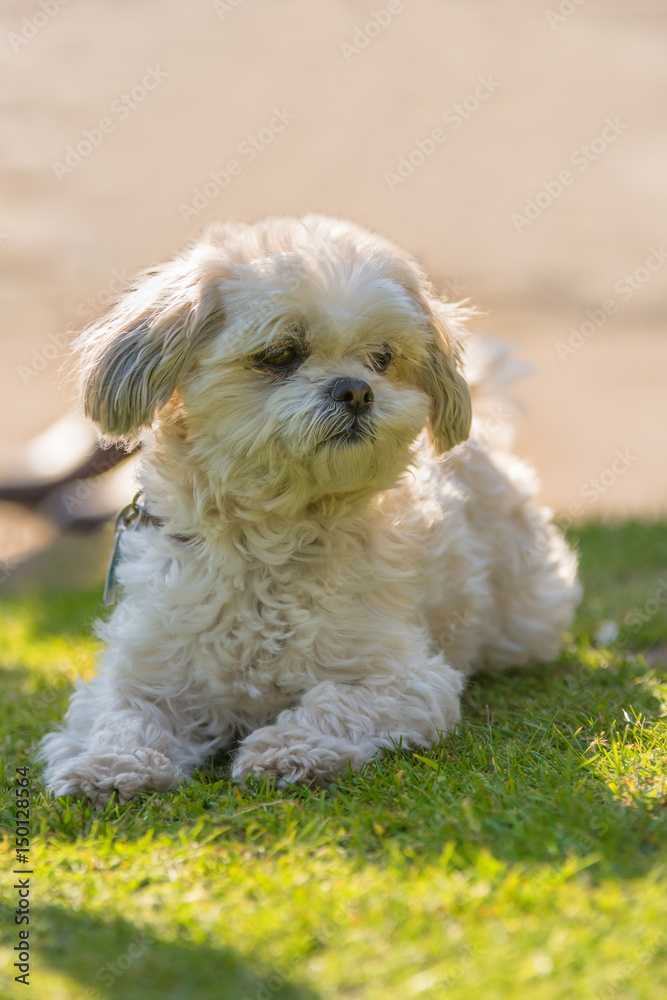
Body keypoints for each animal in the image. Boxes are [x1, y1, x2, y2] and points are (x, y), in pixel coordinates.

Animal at [39, 213, 580, 804]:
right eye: (280, 354)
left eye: (382, 358)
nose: (357, 390)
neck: (269, 541)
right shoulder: (142, 674)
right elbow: (125, 717)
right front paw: (108, 765)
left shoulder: (402, 680)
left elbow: (333, 704)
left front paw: (289, 750)